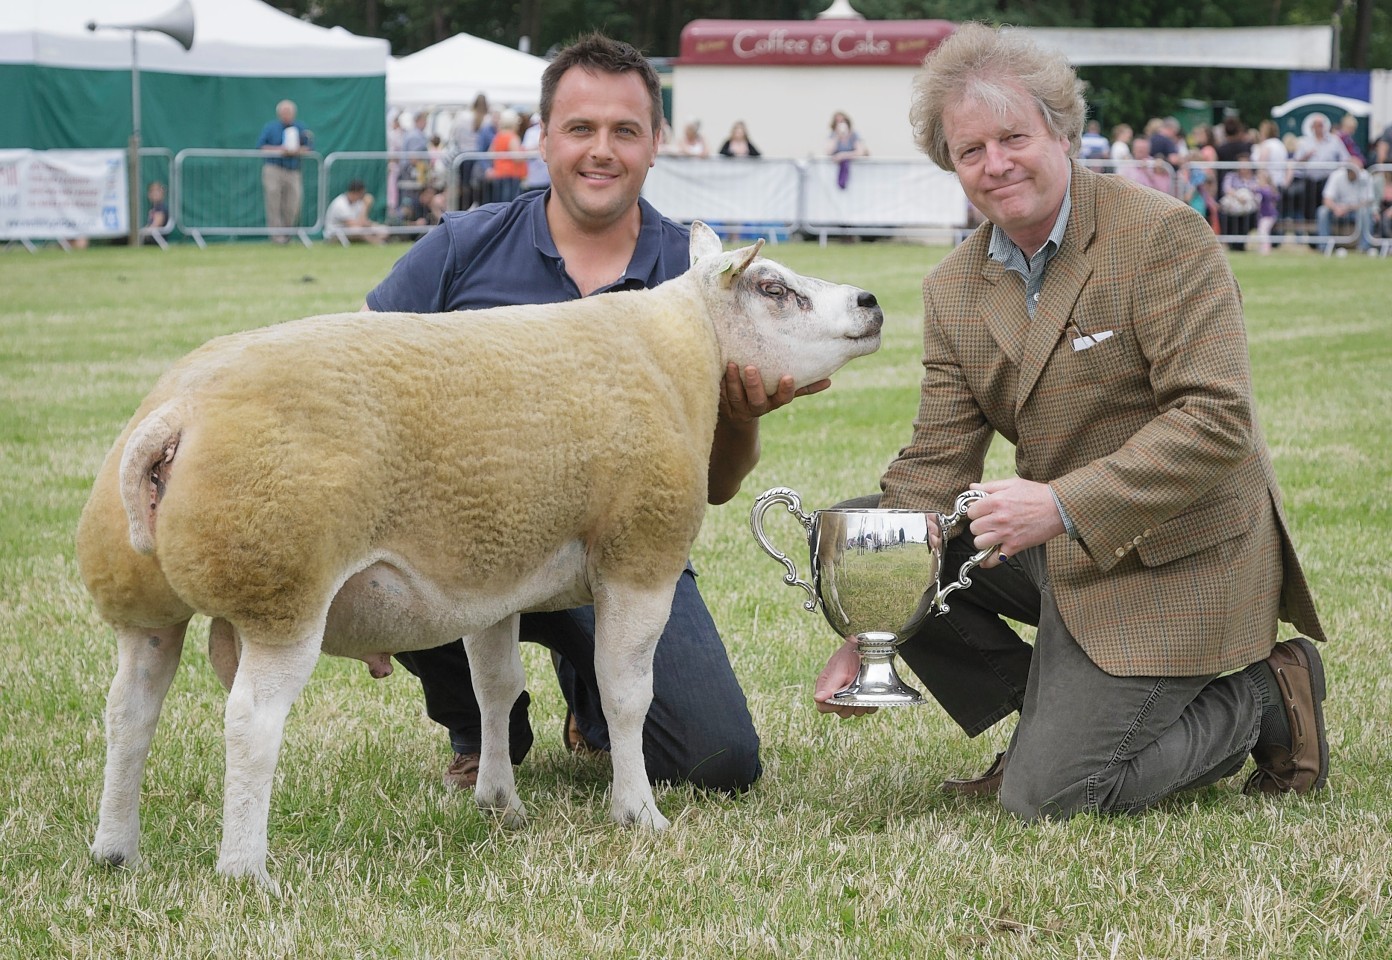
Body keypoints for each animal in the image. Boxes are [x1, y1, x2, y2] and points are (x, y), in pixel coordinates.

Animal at [78, 221, 879, 884]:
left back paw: (116, 850)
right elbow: (625, 694)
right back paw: (245, 871)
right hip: (282, 591)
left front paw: (500, 801)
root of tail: (176, 416)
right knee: (249, 725)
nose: (871, 301)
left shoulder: (493, 577)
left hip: (144, 604)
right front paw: (638, 812)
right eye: (773, 288)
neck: (680, 352)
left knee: (128, 714)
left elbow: (498, 687)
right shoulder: (638, 558)